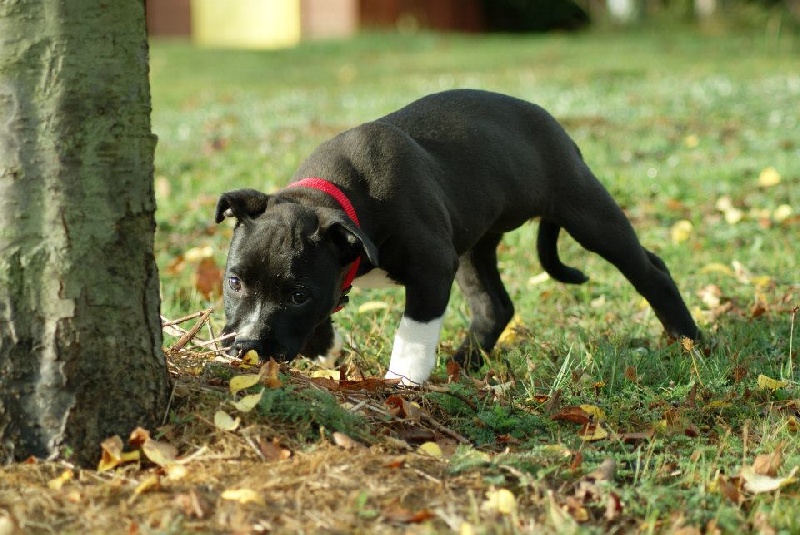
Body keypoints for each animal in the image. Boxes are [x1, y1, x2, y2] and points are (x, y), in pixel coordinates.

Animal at [216, 91, 696, 386]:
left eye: (298, 294)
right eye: (234, 283)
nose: (247, 346)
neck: (337, 196)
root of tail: (554, 125)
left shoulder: (431, 266)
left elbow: (413, 332)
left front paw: (402, 382)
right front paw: (325, 348)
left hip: (585, 209)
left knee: (651, 269)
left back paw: (691, 342)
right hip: (472, 249)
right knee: (494, 306)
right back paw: (462, 363)